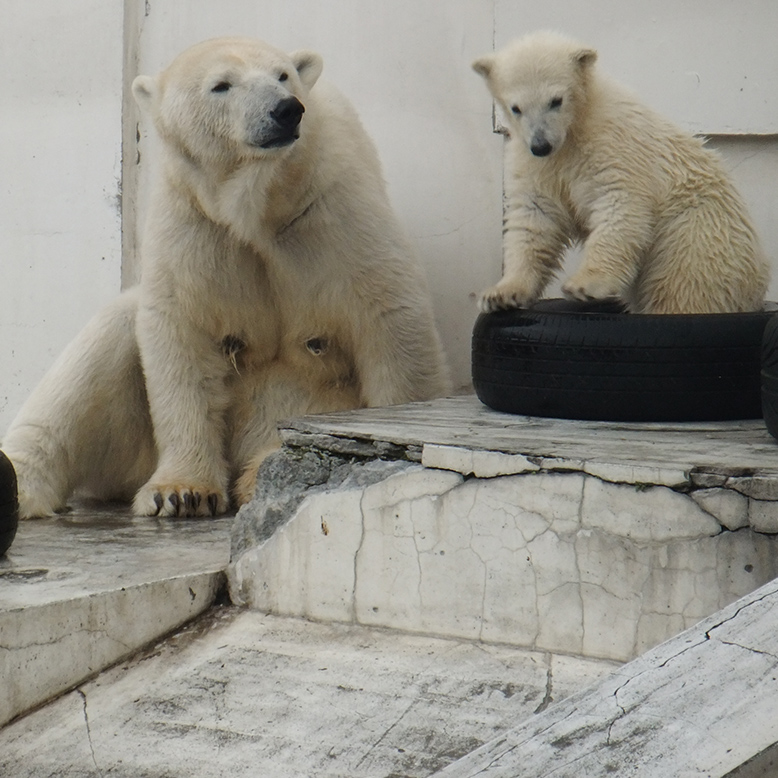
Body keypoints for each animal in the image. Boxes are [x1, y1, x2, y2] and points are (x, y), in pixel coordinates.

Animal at [3, 39, 448, 520]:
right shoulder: (196, 223)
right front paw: (180, 492)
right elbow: (181, 332)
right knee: (103, 345)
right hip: (133, 447)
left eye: (282, 75)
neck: (262, 202)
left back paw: (258, 477)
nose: (286, 110)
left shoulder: (331, 206)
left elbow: (388, 313)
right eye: (221, 85)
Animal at [470, 31, 768, 312]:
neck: (574, 128)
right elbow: (535, 219)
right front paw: (500, 294)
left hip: (694, 233)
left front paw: (584, 285)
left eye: (555, 100)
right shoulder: (535, 163)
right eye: (516, 108)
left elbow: (619, 204)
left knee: (682, 288)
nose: (541, 145)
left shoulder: (613, 145)